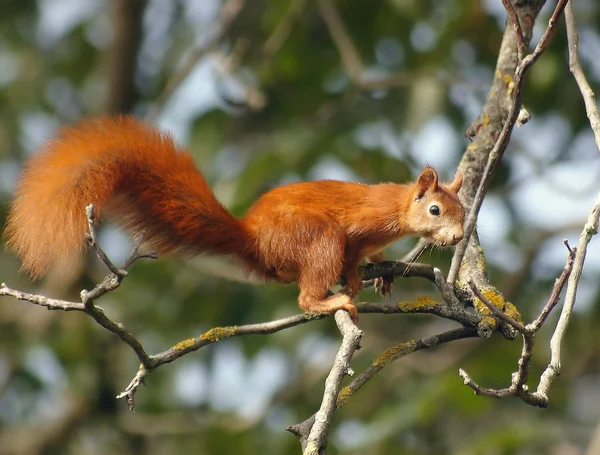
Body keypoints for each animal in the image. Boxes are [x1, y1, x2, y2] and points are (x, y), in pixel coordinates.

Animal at [3, 118, 464, 324]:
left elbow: (375, 256)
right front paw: (353, 276)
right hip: (314, 236)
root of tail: (252, 238)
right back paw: (328, 299)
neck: (397, 210)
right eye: (436, 210)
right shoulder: (360, 225)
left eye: (462, 209)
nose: (460, 236)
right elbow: (352, 250)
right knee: (309, 284)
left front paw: (383, 272)